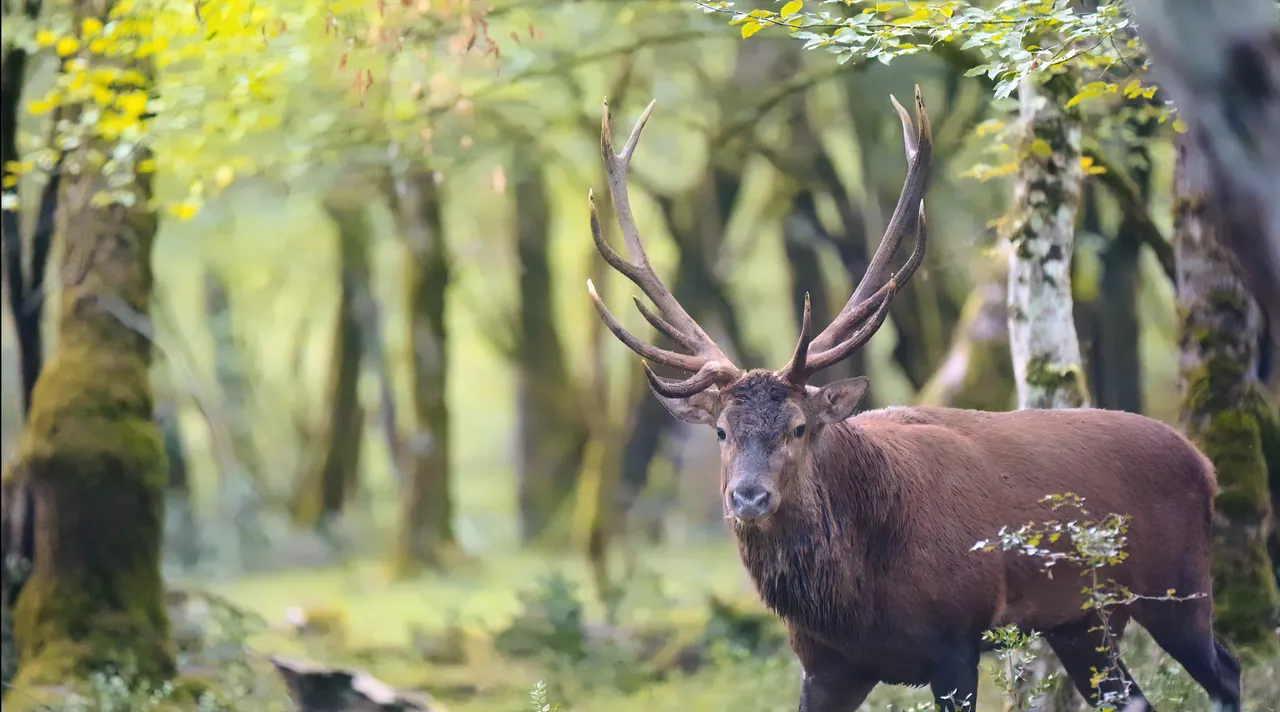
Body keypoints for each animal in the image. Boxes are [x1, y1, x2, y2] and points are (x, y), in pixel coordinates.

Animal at [581, 88, 1243, 712]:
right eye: (721, 430)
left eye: (798, 427)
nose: (748, 496)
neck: (854, 598)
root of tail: (1206, 466)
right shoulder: (826, 666)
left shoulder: (956, 641)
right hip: (1082, 621)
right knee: (1134, 695)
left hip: (1179, 586)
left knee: (1228, 667)